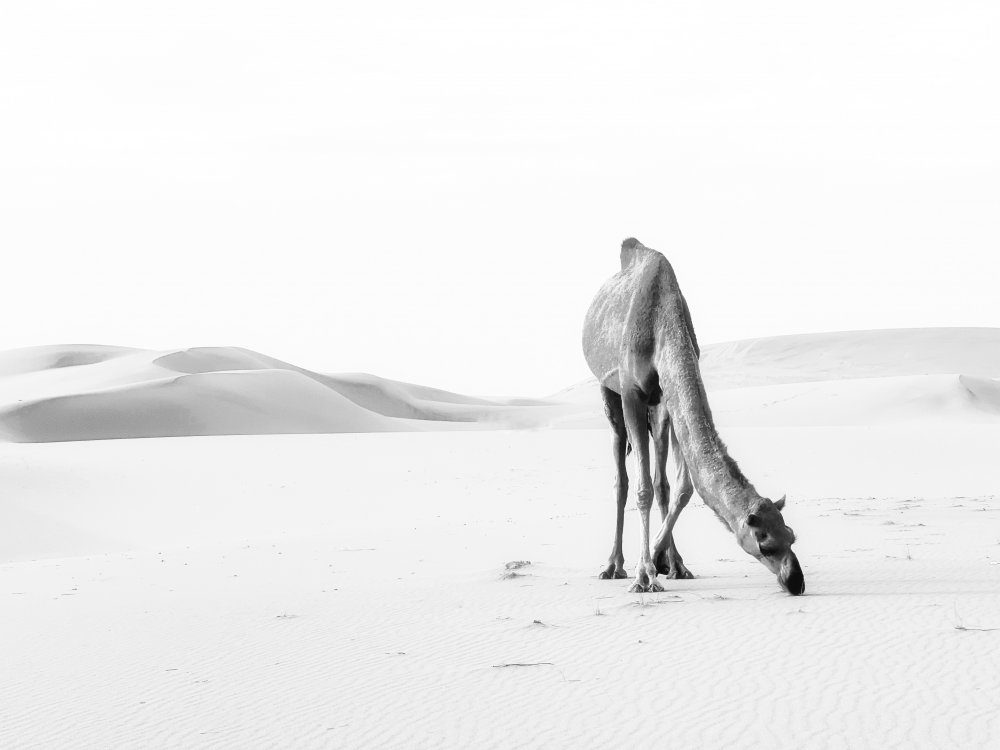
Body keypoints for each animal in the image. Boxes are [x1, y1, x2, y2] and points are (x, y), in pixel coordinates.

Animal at [582, 238, 804, 595]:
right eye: (765, 544)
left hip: (657, 409)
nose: (796, 581)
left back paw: (672, 564)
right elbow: (642, 489)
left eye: (792, 537)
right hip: (609, 391)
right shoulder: (632, 393)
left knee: (661, 480)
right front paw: (643, 575)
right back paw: (613, 566)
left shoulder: (669, 395)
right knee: (622, 476)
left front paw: (662, 563)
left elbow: (683, 487)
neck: (661, 322)